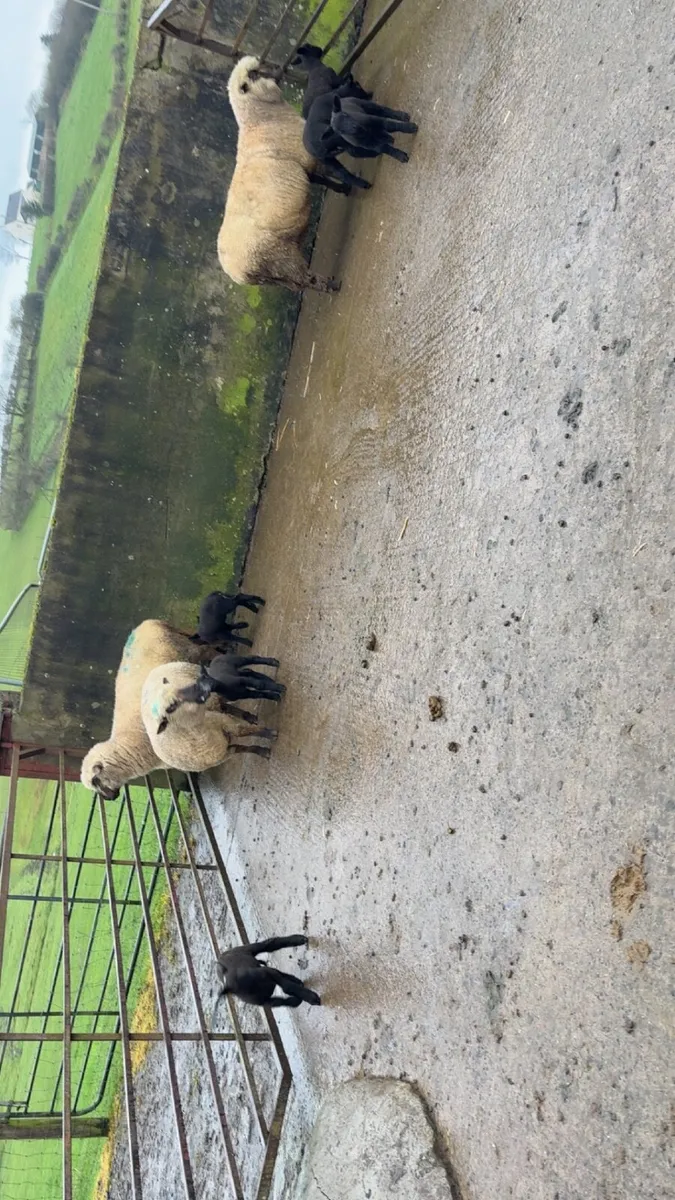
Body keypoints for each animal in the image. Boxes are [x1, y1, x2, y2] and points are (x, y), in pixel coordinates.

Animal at [80, 619, 218, 801]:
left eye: (95, 781)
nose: (110, 798)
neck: (129, 745)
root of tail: (147, 623)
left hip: (185, 648)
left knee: (206, 649)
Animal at [141, 661, 277, 773]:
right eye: (171, 707)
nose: (201, 689)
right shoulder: (223, 754)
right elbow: (241, 745)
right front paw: (262, 750)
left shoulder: (222, 721)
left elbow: (241, 731)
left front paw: (269, 734)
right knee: (225, 707)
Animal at [217, 56, 345, 294]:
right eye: (254, 74)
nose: (280, 68)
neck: (261, 122)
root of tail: (238, 274)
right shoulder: (310, 157)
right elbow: (330, 172)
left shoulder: (306, 168)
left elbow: (325, 180)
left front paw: (345, 189)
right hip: (279, 257)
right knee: (306, 279)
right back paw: (332, 285)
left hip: (276, 274)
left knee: (298, 284)